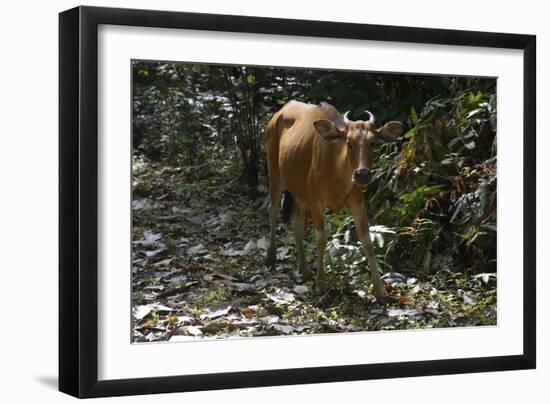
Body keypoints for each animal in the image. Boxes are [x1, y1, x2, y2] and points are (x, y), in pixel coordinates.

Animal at [268, 101, 406, 300]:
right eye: (348, 142)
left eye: (373, 143)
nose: (362, 174)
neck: (337, 169)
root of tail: (280, 111)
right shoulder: (316, 201)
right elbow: (321, 239)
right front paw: (321, 284)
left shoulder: (357, 201)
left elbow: (367, 241)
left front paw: (380, 290)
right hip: (275, 172)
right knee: (272, 210)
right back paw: (270, 258)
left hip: (301, 192)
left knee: (296, 223)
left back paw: (304, 270)